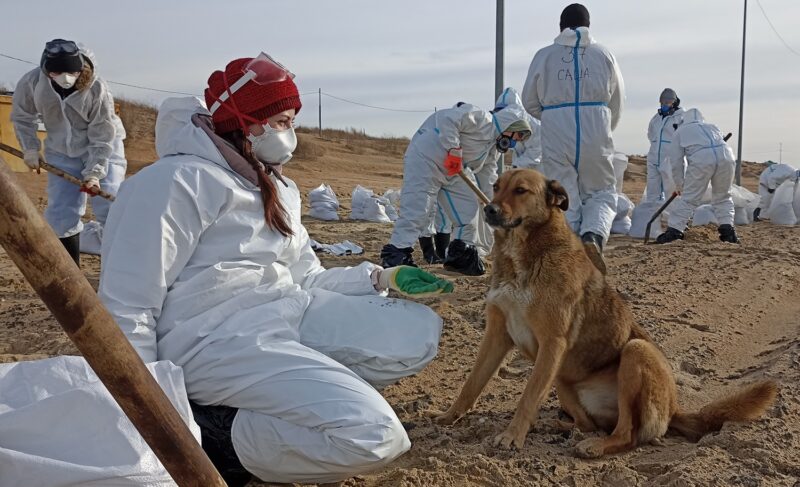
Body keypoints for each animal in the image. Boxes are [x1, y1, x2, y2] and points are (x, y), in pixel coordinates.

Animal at [434, 170, 780, 460]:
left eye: (521, 190)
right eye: (496, 186)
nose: (489, 210)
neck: (525, 253)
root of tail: (674, 409)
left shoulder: (552, 341)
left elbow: (528, 397)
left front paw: (512, 437)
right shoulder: (498, 334)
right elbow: (472, 383)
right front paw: (449, 417)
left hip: (635, 352)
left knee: (627, 434)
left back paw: (596, 446)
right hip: (560, 378)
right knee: (590, 423)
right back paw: (561, 427)